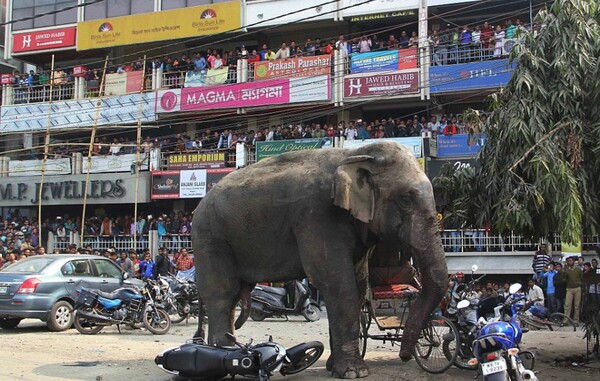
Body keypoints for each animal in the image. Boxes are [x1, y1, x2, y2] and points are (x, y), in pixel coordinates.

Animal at [191, 142, 446, 378]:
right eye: (405, 199)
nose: (404, 355)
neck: (354, 154)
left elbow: (358, 285)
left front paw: (336, 368)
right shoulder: (317, 215)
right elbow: (337, 283)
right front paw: (354, 372)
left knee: (232, 297)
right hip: (209, 237)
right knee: (222, 295)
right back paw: (224, 358)